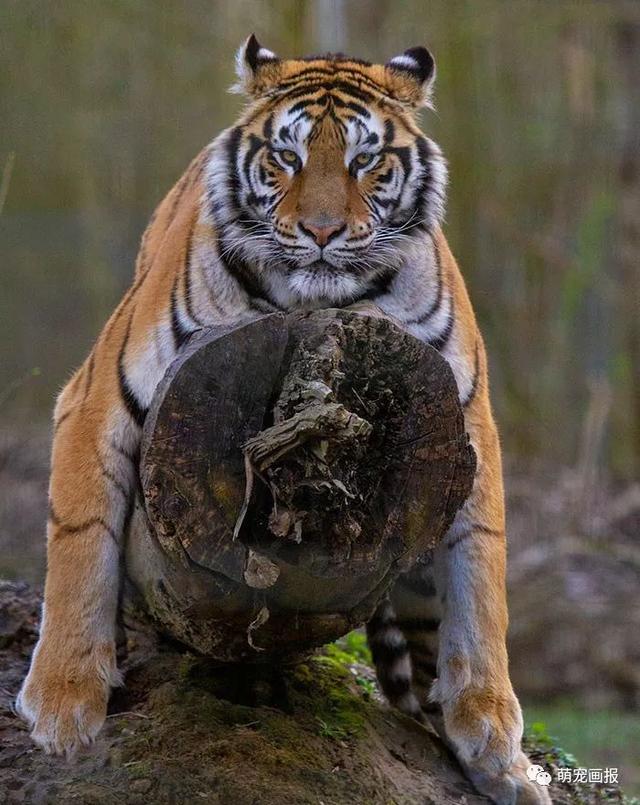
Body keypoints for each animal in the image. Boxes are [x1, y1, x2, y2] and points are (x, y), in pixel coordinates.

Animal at [18, 37, 552, 804]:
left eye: (365, 161)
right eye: (287, 158)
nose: (322, 231)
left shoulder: (469, 421)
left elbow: (482, 579)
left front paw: (497, 748)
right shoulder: (95, 400)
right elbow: (79, 544)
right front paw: (62, 709)